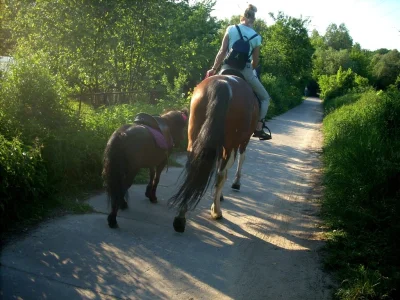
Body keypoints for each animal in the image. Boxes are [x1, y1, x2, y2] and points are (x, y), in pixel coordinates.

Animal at [167, 74, 258, 232]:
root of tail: (222, 84)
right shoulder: (243, 141)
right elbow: (237, 162)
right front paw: (235, 184)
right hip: (230, 144)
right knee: (221, 174)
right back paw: (216, 211)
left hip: (194, 137)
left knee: (193, 169)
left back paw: (181, 217)